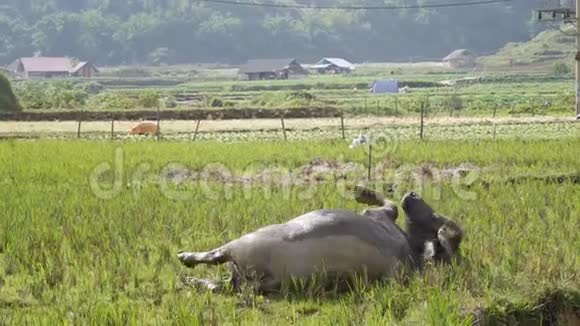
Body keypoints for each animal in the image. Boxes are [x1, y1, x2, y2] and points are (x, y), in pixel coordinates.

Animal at [177, 186, 462, 292]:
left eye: (437, 218)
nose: (413, 194)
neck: (410, 251)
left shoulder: (380, 215)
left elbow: (388, 203)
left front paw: (362, 192)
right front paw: (362, 191)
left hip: (241, 247)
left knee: (216, 257)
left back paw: (186, 261)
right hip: (243, 277)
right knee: (218, 285)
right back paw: (191, 279)